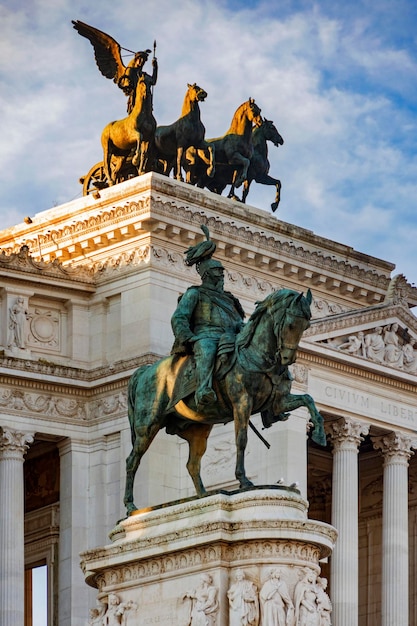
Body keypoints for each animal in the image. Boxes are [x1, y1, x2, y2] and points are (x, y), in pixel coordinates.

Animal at [122, 288, 324, 512]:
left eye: (306, 325)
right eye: (290, 324)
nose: (288, 359)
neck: (258, 355)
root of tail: (143, 371)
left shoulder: (279, 402)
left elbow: (308, 399)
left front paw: (319, 433)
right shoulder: (242, 402)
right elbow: (241, 439)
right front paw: (243, 480)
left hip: (197, 430)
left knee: (192, 464)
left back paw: (204, 496)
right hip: (148, 425)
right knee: (132, 460)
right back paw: (130, 506)